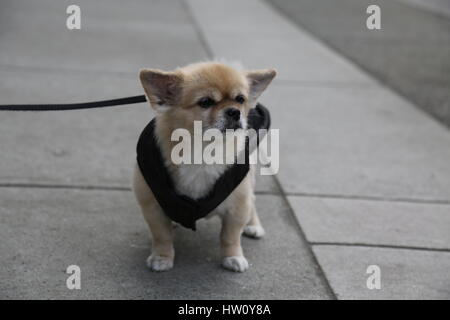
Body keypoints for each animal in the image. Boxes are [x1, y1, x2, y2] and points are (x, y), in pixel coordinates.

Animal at [132, 61, 276, 272]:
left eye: (240, 99)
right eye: (206, 102)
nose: (234, 111)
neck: (204, 150)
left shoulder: (237, 205)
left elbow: (230, 236)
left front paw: (233, 257)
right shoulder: (152, 206)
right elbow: (161, 236)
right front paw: (162, 257)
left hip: (248, 182)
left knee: (253, 199)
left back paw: (253, 225)